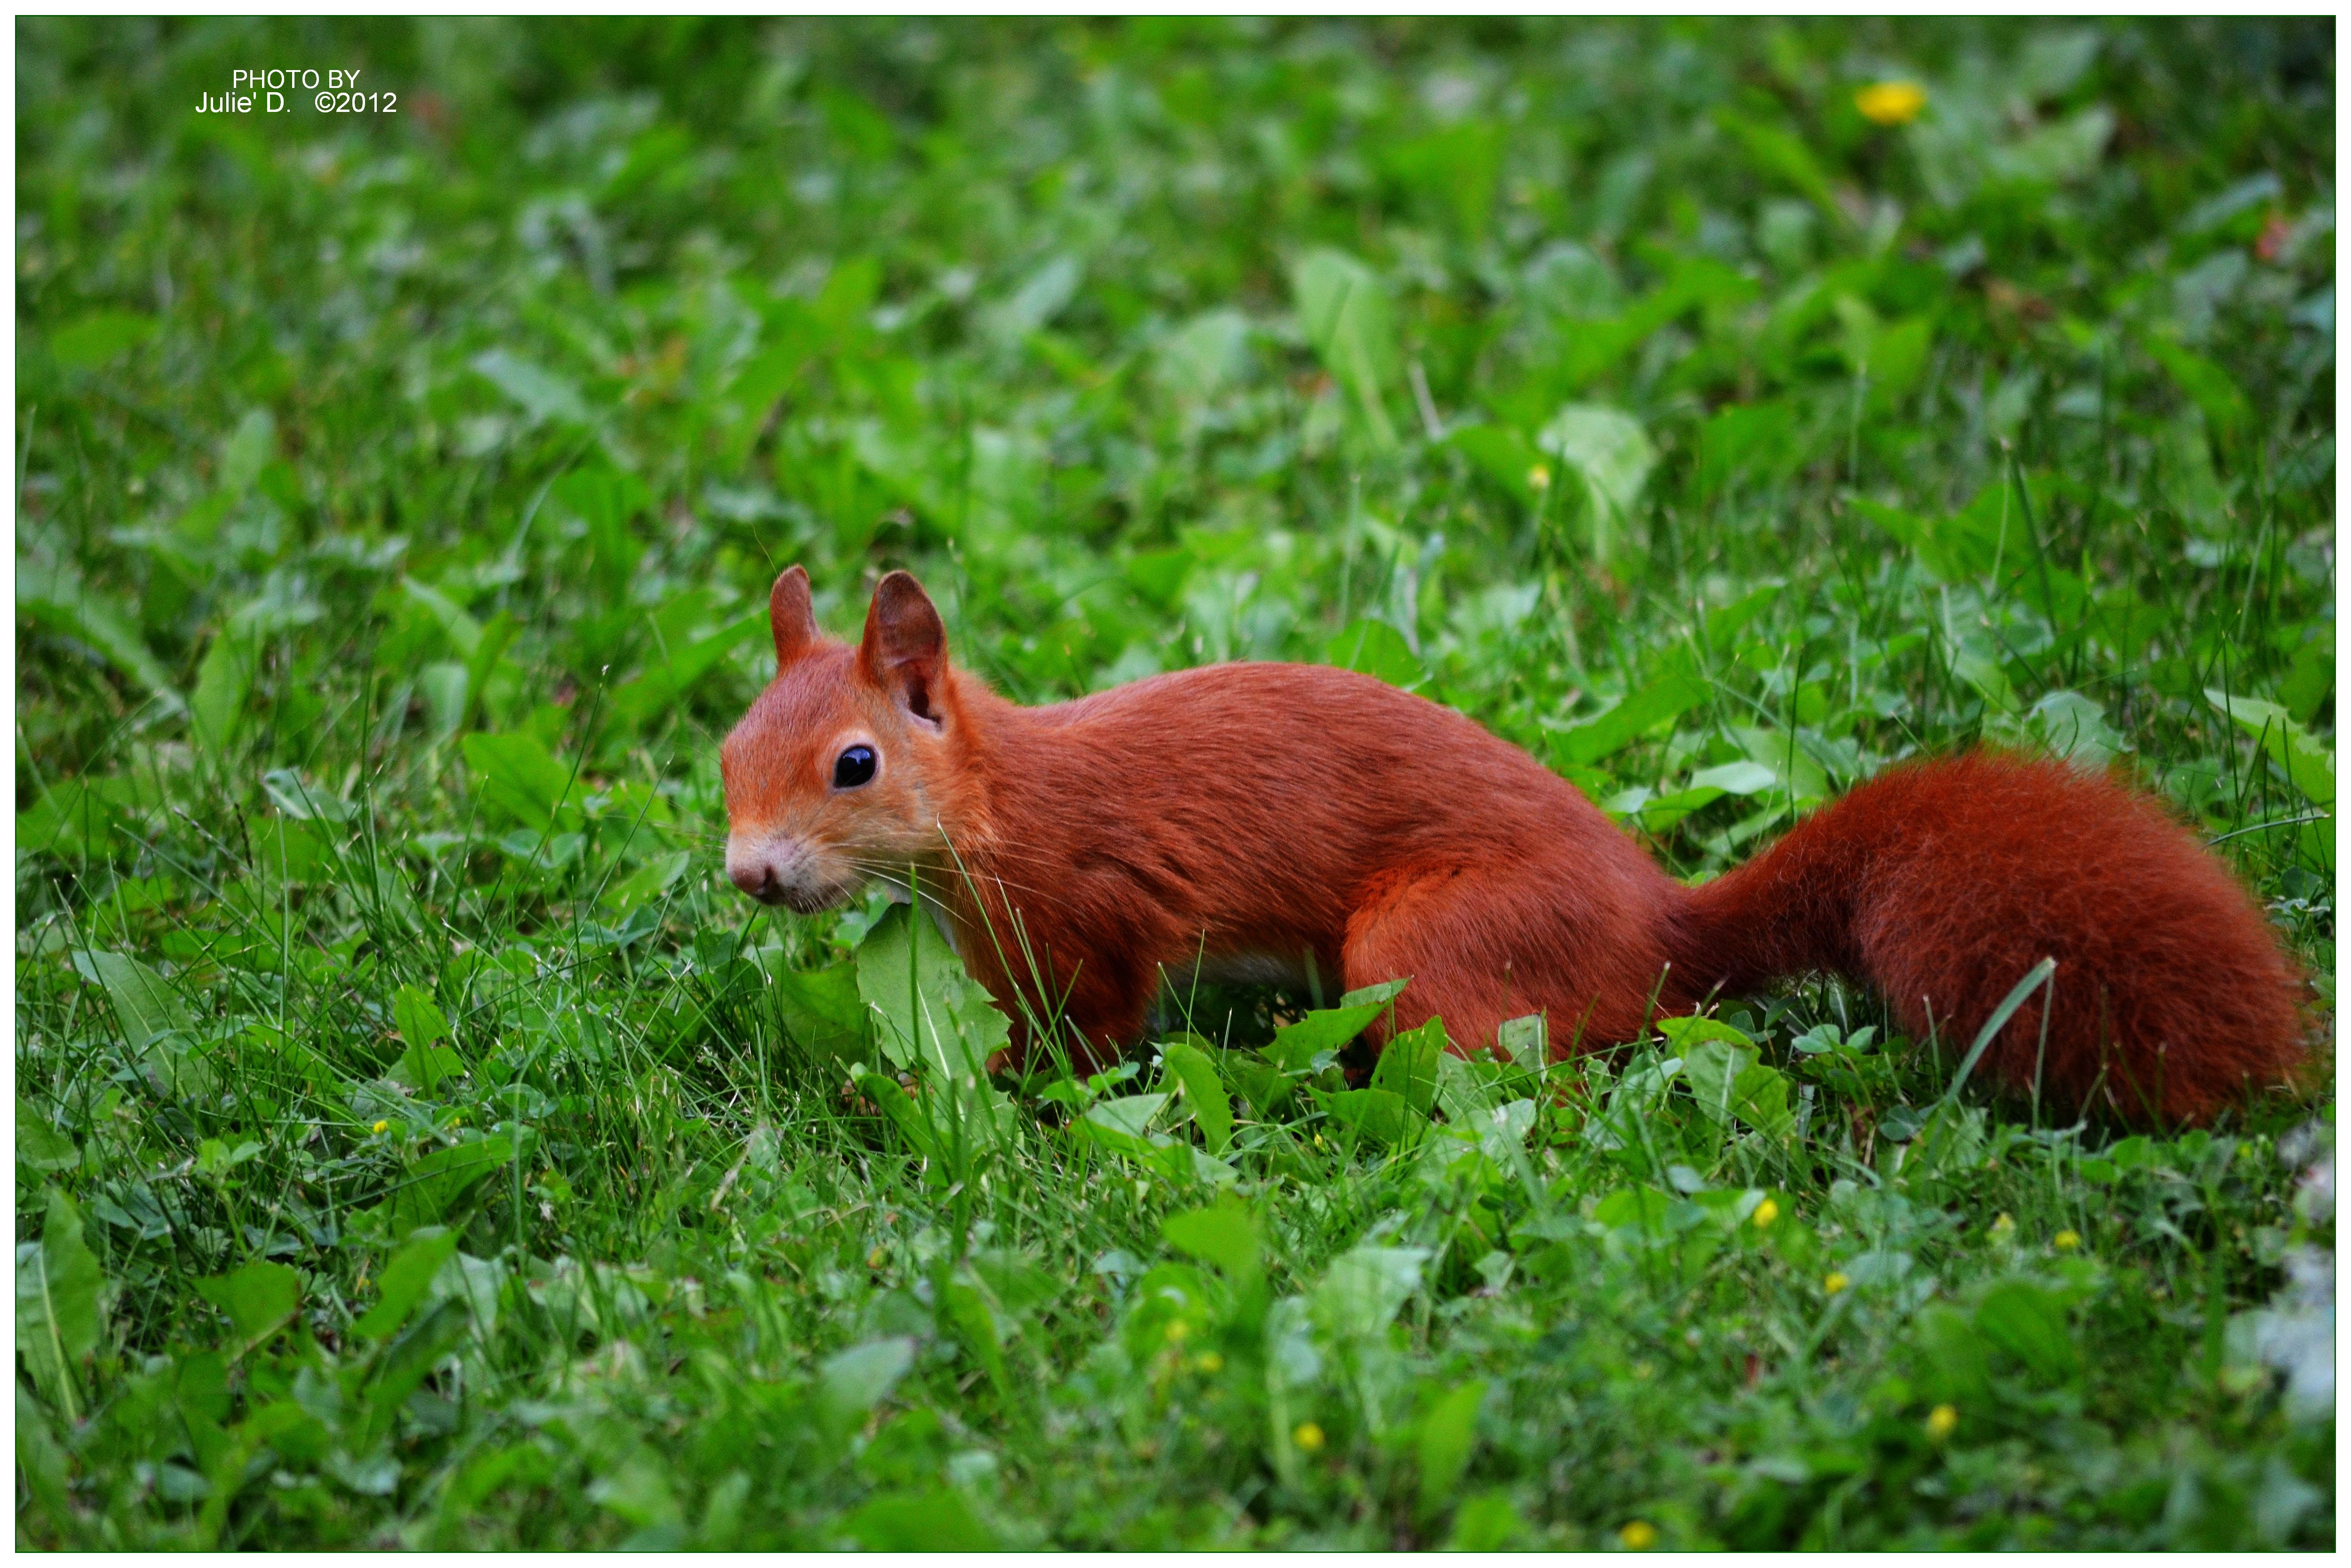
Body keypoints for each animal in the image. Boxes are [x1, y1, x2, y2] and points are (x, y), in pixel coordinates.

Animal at [724, 571, 2304, 1124]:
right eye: (728, 756)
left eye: (855, 762)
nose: (749, 872)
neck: (999, 806)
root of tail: (1659, 920)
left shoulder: (1096, 909)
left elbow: (1090, 1032)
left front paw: (988, 1090)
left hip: (1428, 938)